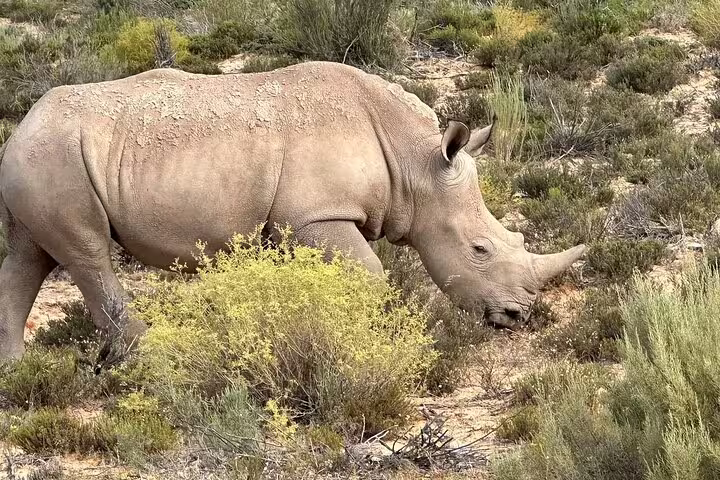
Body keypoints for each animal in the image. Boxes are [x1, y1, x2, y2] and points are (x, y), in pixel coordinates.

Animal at [0, 61, 585, 360]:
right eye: (480, 249)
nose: (518, 316)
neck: (414, 163)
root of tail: (22, 124)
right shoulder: (317, 215)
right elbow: (370, 276)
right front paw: (363, 341)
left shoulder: (296, 221)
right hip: (54, 158)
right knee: (87, 254)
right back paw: (151, 358)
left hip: (41, 157)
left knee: (28, 258)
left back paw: (18, 371)